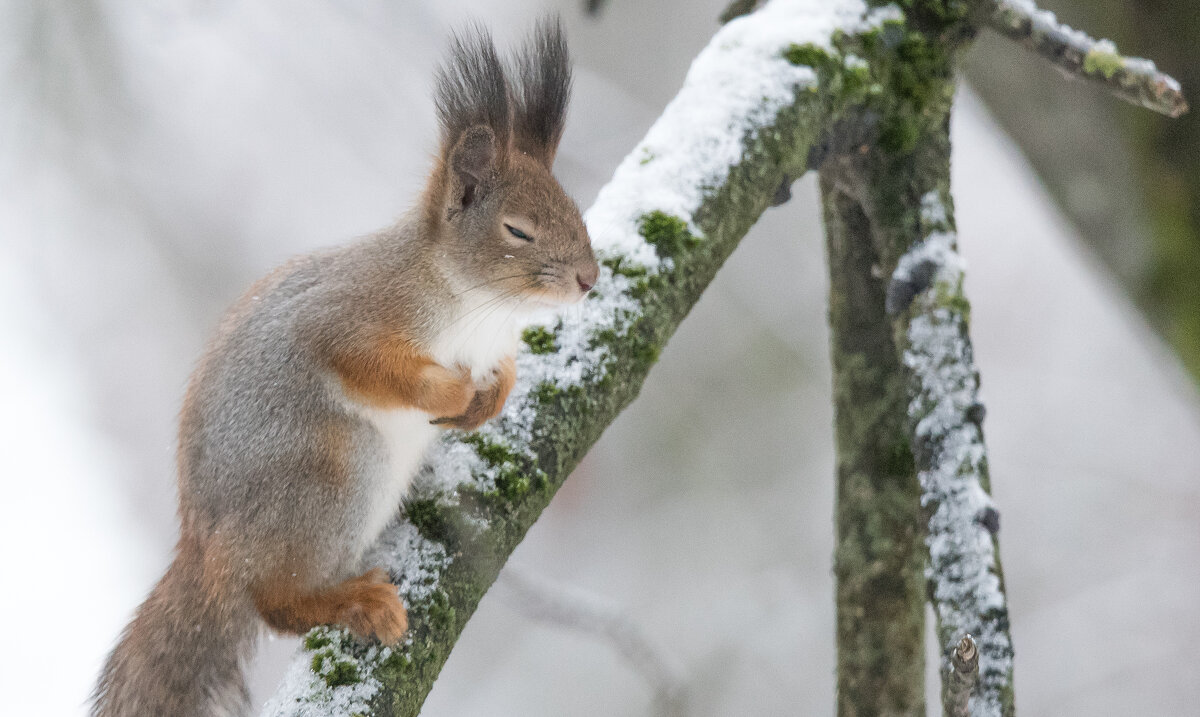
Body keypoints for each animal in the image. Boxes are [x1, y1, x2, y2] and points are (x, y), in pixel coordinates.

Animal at [91, 18, 597, 717]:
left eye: (573, 208)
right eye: (517, 230)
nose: (589, 279)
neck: (476, 308)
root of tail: (209, 559)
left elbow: (504, 374)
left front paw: (490, 398)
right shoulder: (346, 317)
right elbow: (365, 364)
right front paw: (450, 391)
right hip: (330, 473)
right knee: (275, 605)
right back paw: (355, 602)